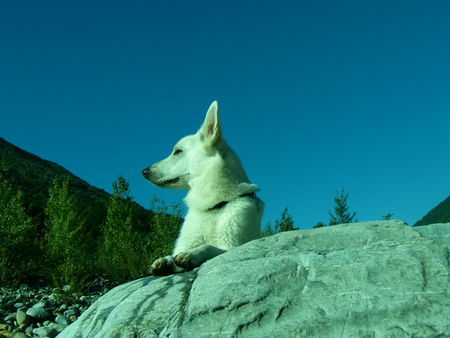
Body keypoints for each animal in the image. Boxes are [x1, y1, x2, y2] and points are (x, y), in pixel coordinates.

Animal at [142, 100, 264, 274]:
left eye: (178, 151)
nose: (144, 171)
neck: (213, 206)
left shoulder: (232, 246)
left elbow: (209, 247)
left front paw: (193, 253)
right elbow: (172, 255)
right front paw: (165, 260)